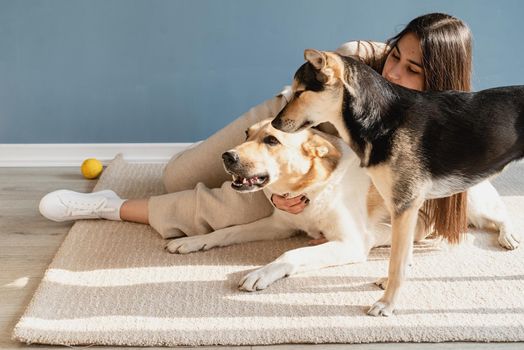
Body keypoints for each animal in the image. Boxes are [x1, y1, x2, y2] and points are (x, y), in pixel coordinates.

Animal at [272, 47, 520, 316]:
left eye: (300, 93)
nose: (274, 123)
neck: (380, 119)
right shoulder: (403, 209)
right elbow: (403, 255)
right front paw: (387, 285)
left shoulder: (404, 206)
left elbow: (396, 264)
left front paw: (387, 303)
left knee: (501, 215)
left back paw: (508, 236)